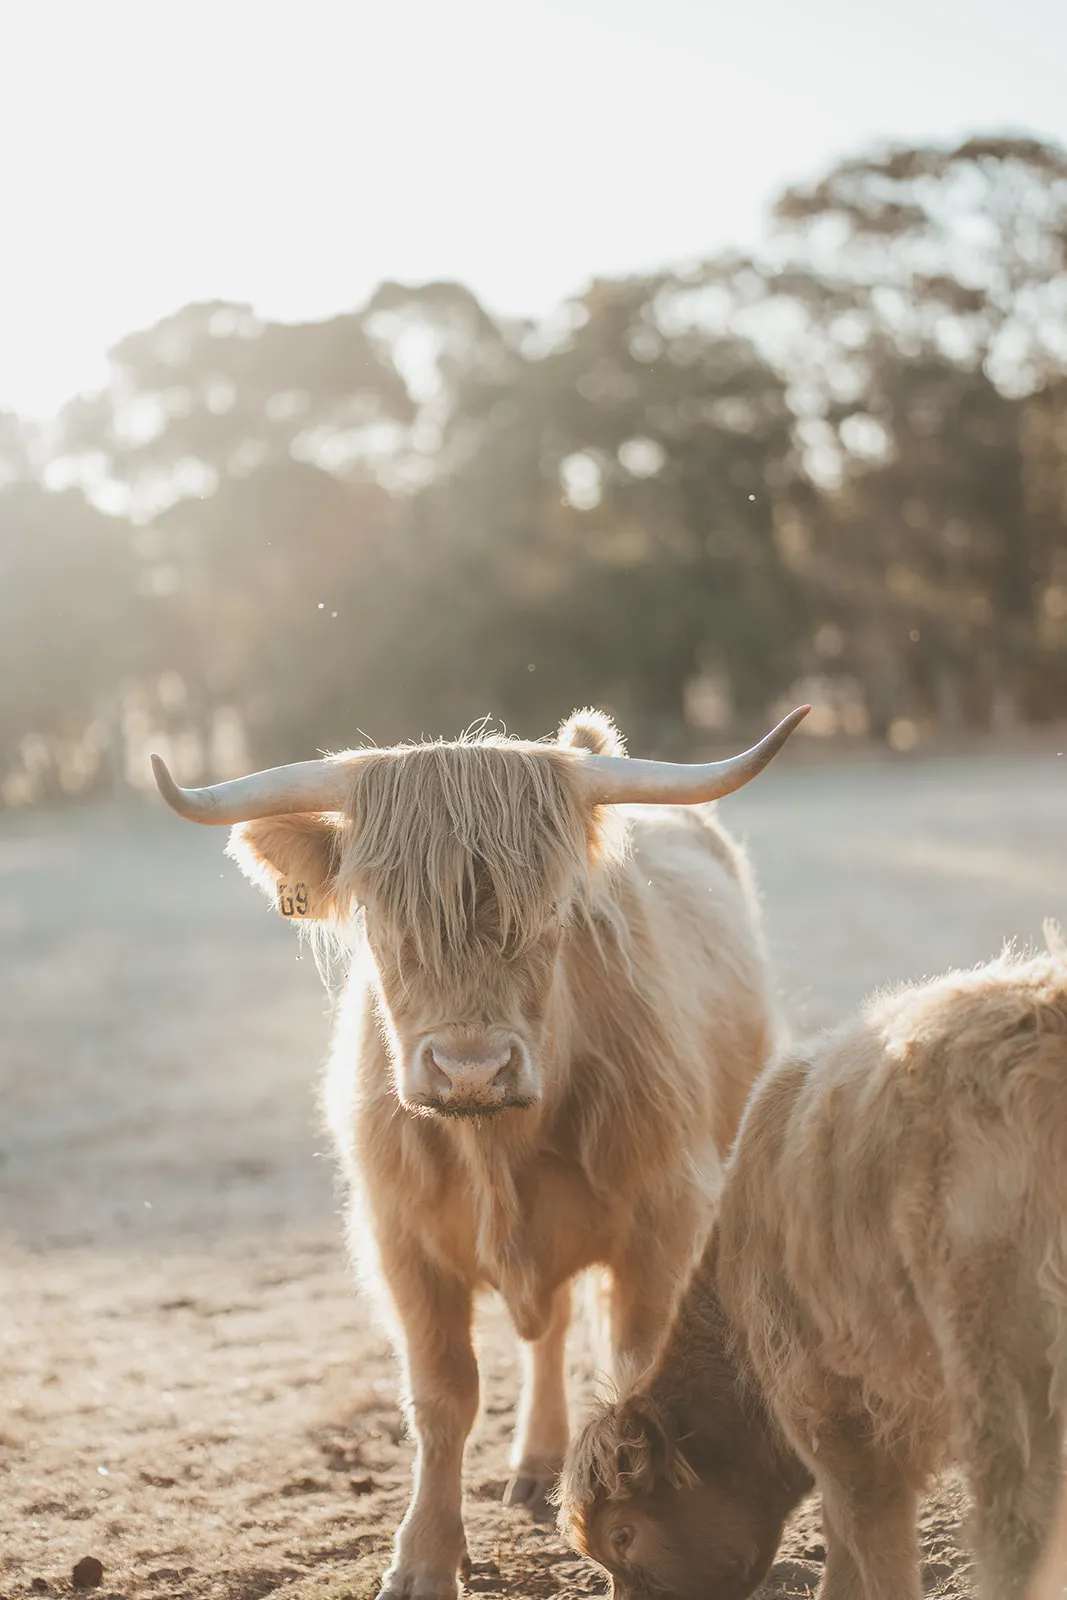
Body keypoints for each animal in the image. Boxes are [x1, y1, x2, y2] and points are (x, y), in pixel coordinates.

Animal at [151, 704, 808, 1600]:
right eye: (381, 920)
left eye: (553, 911)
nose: (470, 1069)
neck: (494, 1144)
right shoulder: (400, 1242)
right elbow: (442, 1396)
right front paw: (424, 1558)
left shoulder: (665, 1222)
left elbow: (638, 1371)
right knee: (548, 1328)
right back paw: (535, 1460)